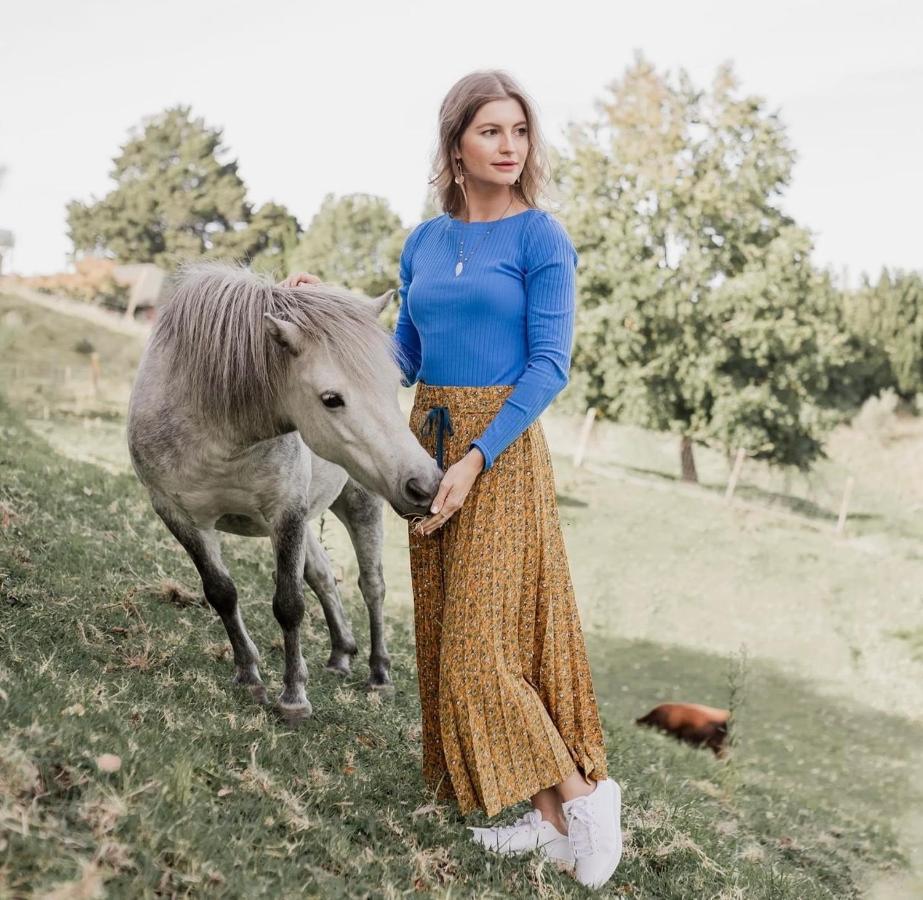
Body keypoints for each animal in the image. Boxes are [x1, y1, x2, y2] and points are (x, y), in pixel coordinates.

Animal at [128, 260, 442, 716]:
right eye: (331, 399)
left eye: (393, 384)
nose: (425, 484)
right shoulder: (179, 515)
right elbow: (222, 593)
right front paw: (248, 674)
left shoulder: (286, 512)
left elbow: (289, 604)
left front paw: (293, 696)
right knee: (323, 575)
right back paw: (340, 652)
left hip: (360, 502)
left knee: (372, 586)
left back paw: (379, 672)